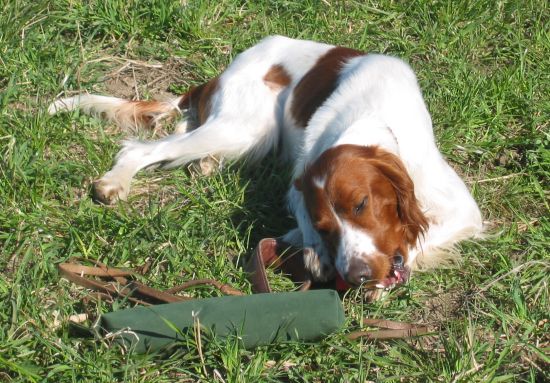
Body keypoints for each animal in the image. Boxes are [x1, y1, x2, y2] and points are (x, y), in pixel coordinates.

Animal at [50, 36, 484, 294]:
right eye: (325, 227)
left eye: (361, 204)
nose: (357, 275)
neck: (369, 114)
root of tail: (219, 75)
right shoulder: (299, 182)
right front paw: (315, 252)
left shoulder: (463, 209)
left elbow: (421, 234)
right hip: (243, 127)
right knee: (137, 150)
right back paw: (115, 182)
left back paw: (203, 165)